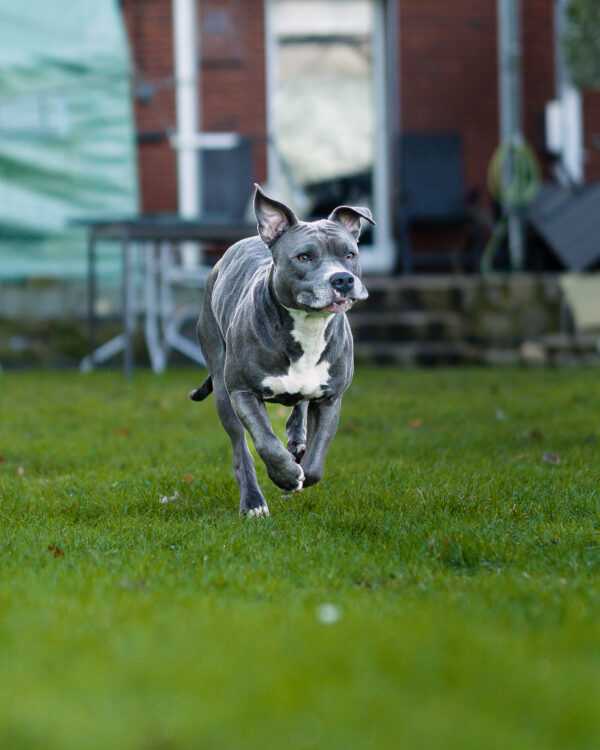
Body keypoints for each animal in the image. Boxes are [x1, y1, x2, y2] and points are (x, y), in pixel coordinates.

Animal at [189, 185, 376, 520]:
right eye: (304, 257)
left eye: (349, 254)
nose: (342, 278)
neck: (308, 326)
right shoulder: (243, 392)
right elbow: (265, 442)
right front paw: (286, 476)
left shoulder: (331, 398)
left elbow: (316, 458)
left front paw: (301, 470)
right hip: (223, 391)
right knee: (242, 450)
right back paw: (253, 501)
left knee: (298, 408)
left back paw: (296, 438)